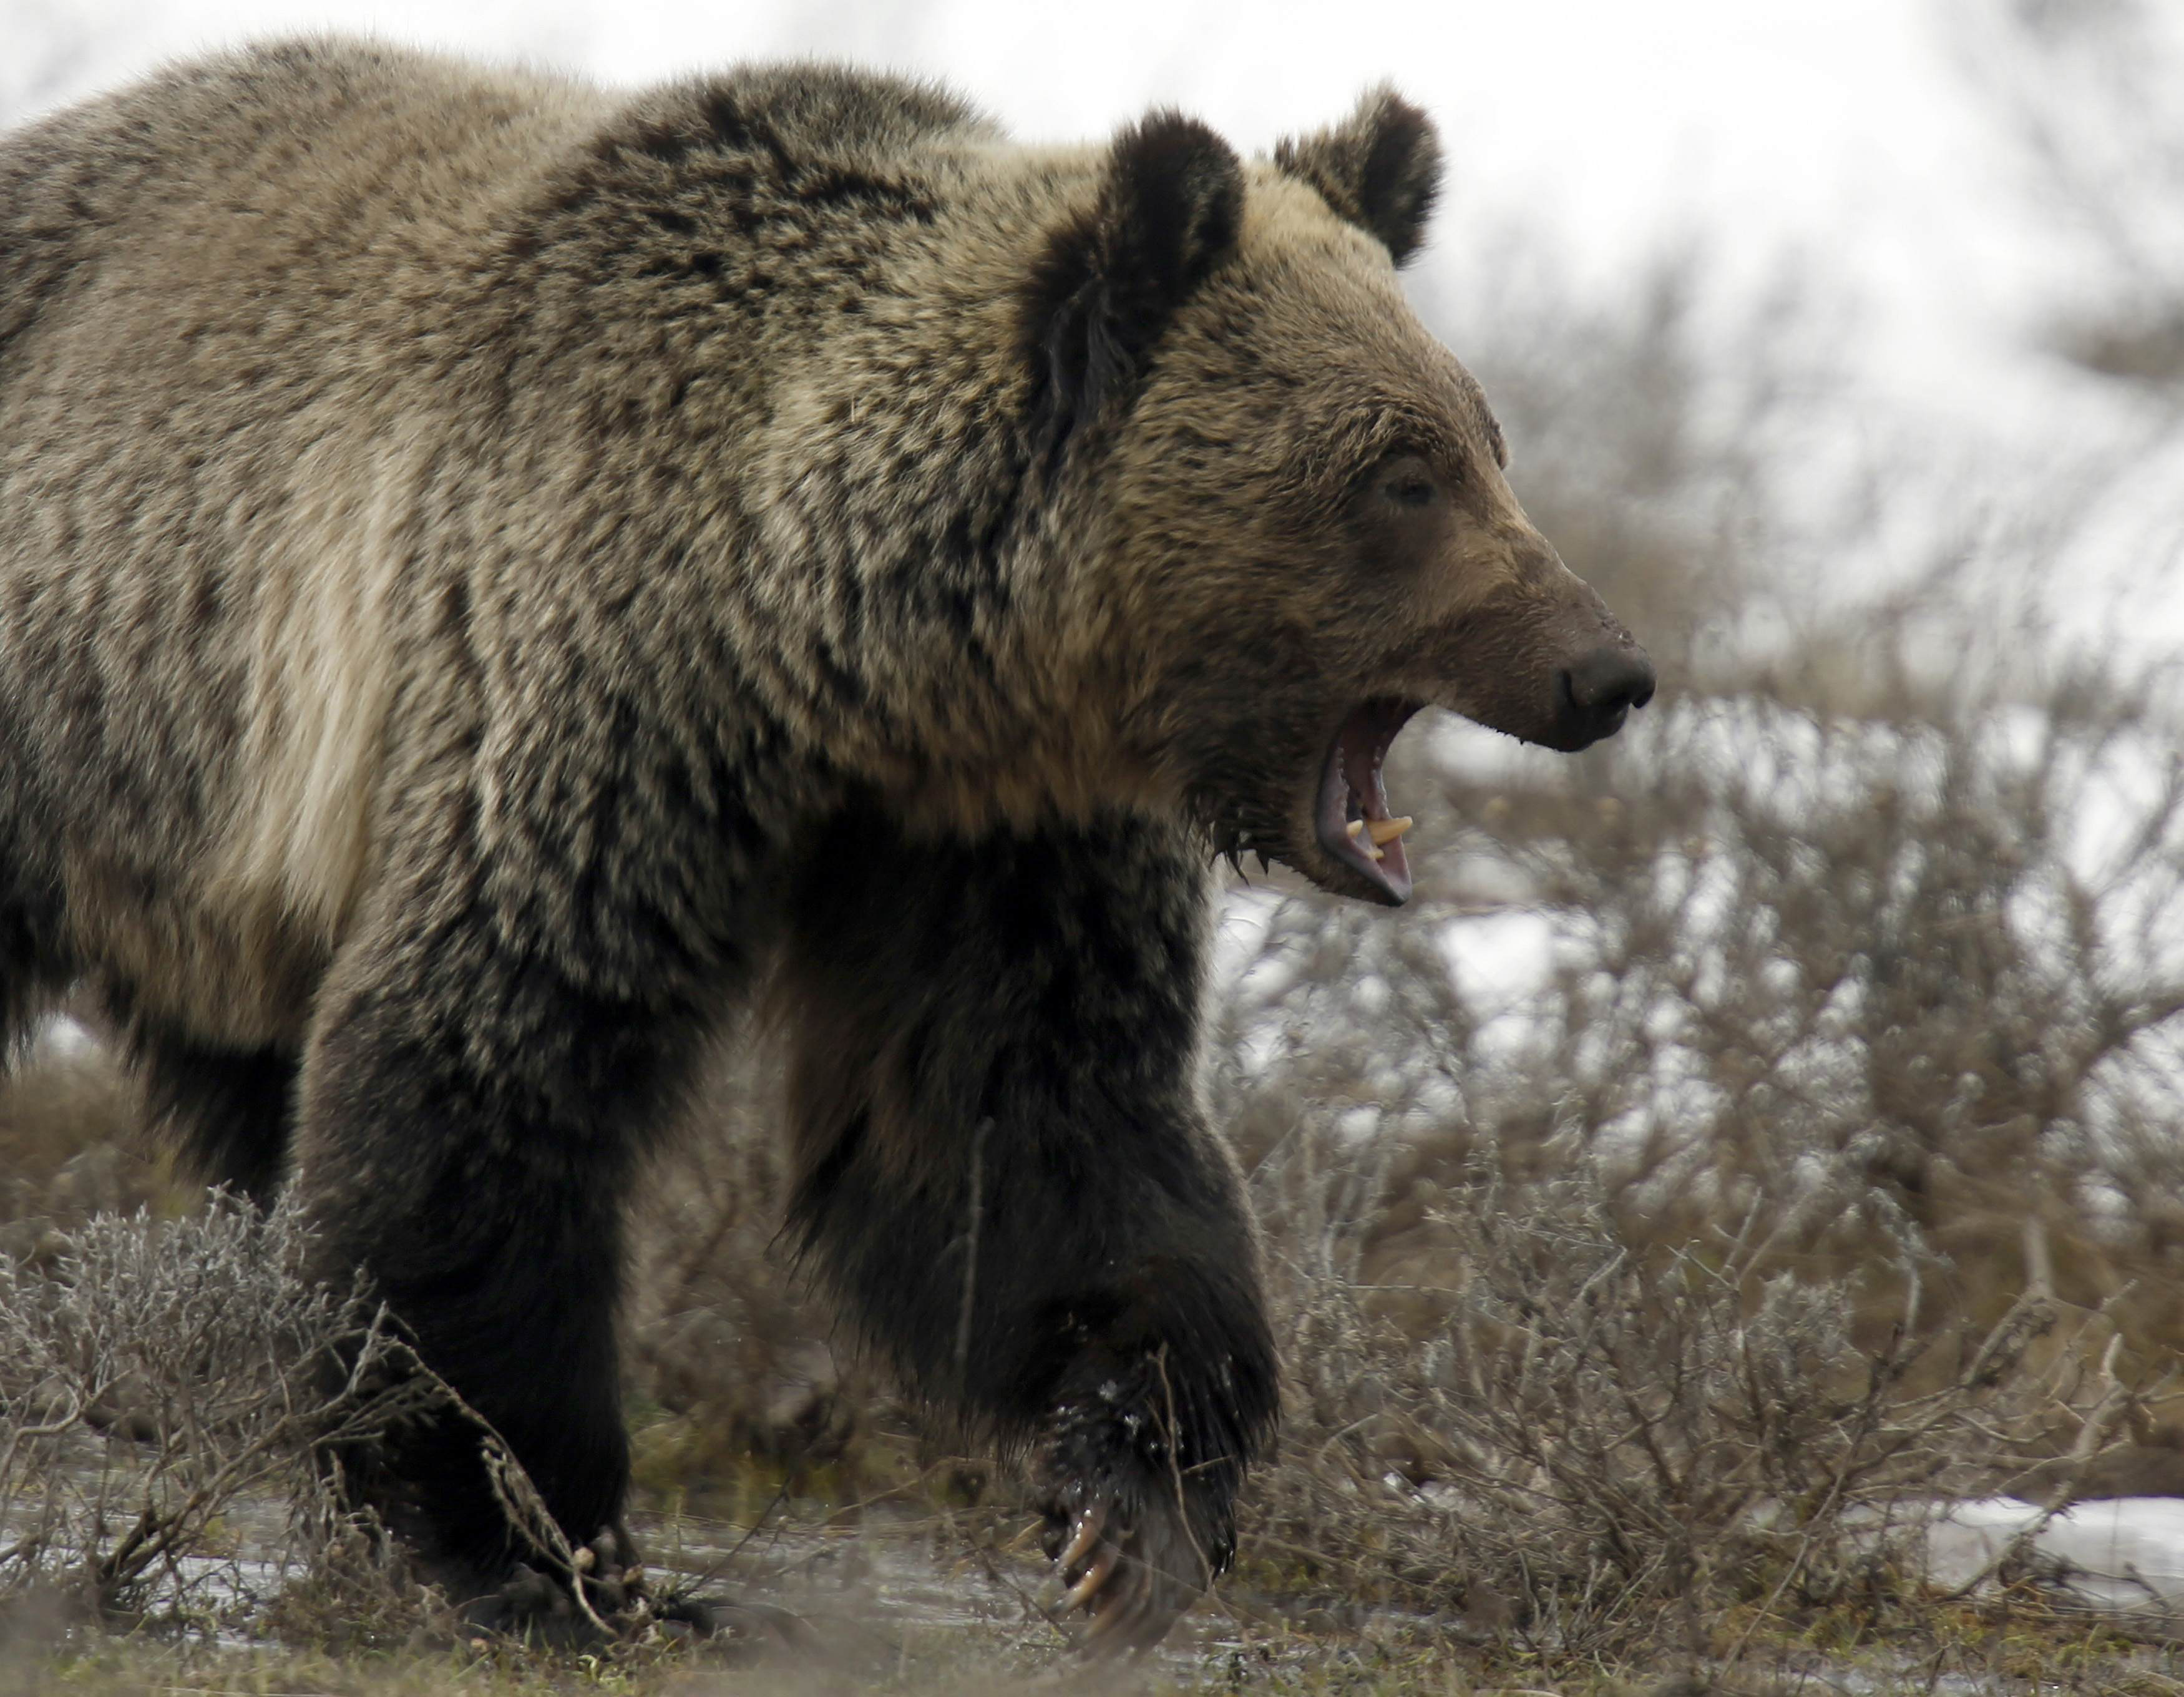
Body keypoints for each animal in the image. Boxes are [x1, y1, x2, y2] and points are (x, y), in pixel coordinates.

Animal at [0, 39, 1642, 1651]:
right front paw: (540, 1544)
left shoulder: (982, 833)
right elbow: (487, 1071)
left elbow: (1021, 1116)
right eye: (1403, 475)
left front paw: (1132, 1503)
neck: (832, 649)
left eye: (1484, 443)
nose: (1604, 669)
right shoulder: (587, 707)